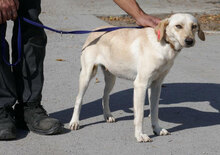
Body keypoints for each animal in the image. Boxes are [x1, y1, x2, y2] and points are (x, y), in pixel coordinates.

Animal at [69, 13, 205, 142]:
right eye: (178, 26)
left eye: (194, 26)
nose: (189, 41)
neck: (163, 46)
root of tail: (95, 31)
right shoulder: (140, 85)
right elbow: (139, 116)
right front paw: (140, 135)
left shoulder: (156, 85)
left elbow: (154, 111)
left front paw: (157, 129)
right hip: (87, 75)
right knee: (78, 99)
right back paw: (74, 122)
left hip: (111, 78)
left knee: (105, 96)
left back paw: (107, 115)